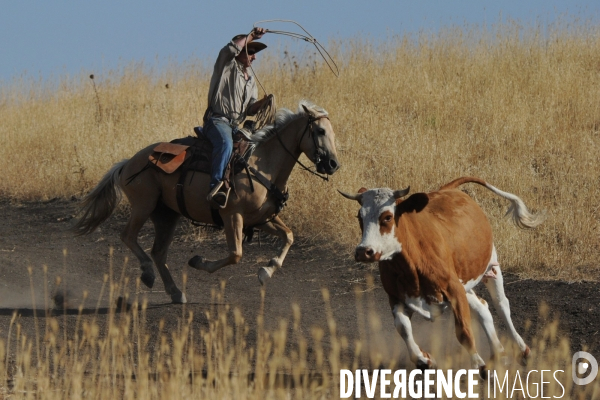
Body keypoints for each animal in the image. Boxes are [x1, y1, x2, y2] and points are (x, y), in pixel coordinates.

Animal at [342, 177, 544, 376]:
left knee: (501, 305)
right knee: (482, 308)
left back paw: (521, 350)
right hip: (465, 281)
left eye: (387, 217)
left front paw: (479, 365)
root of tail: (448, 188)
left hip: (490, 267)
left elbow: (463, 331)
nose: (363, 251)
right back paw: (500, 353)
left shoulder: (454, 290)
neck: (411, 265)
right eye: (360, 217)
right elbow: (403, 328)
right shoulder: (396, 297)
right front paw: (424, 359)